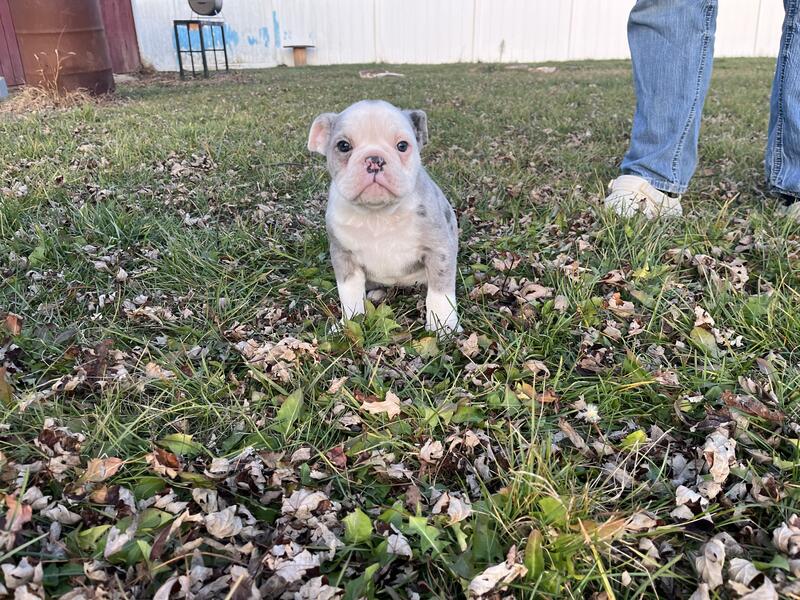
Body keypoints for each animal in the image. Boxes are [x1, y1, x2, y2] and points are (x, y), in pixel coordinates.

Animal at [307, 100, 460, 334]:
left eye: (402, 146)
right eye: (343, 146)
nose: (374, 159)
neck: (378, 214)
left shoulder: (439, 250)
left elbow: (440, 293)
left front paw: (443, 326)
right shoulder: (344, 256)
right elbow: (349, 293)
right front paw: (349, 323)